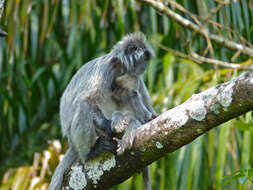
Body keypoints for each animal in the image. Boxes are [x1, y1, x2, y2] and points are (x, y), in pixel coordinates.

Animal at [49, 33, 156, 190]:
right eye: (144, 60)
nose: (144, 67)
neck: (119, 69)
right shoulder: (106, 71)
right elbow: (86, 100)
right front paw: (110, 126)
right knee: (83, 106)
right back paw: (90, 152)